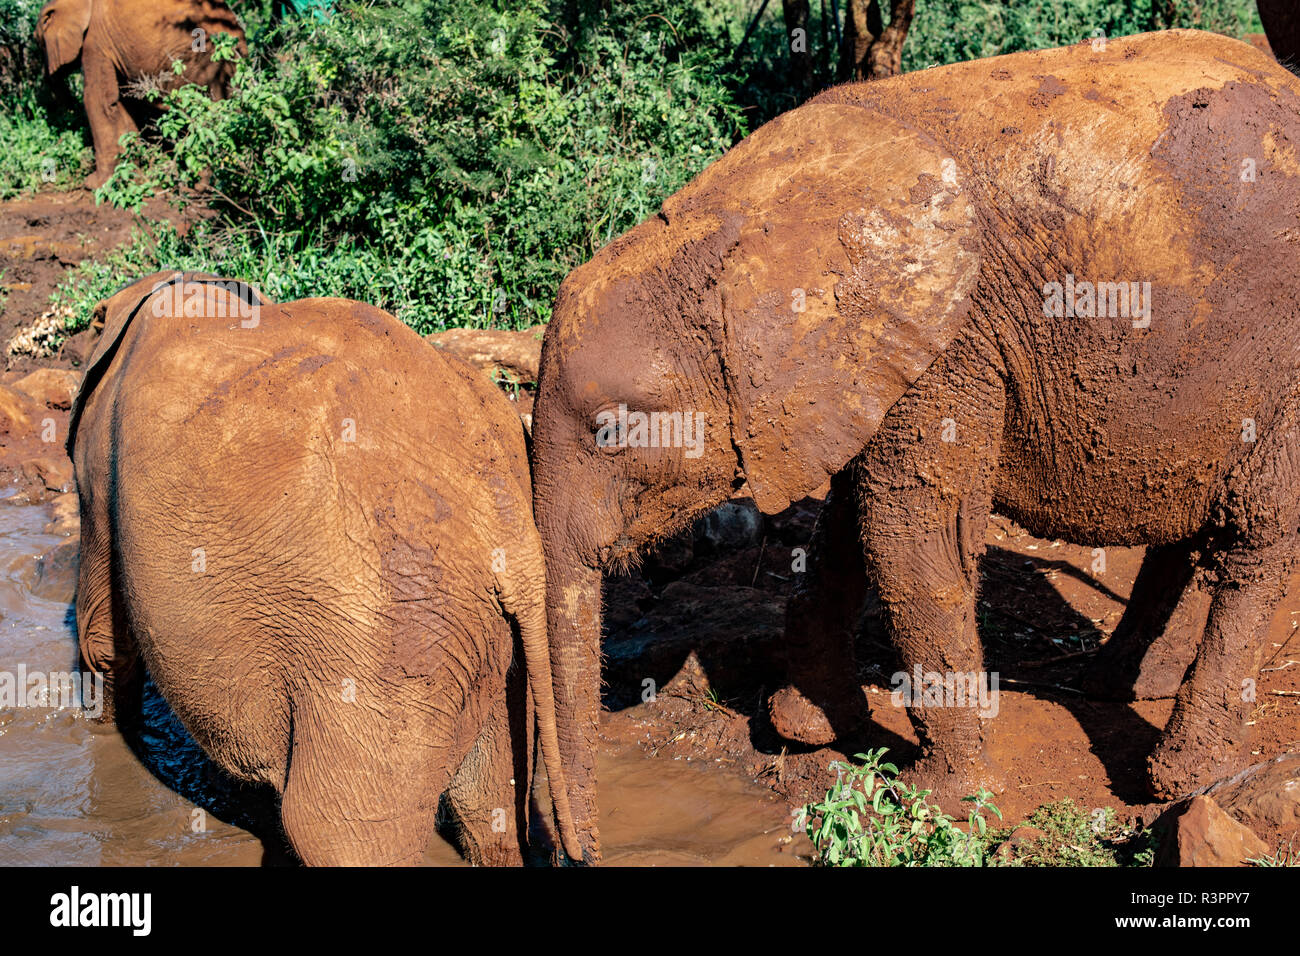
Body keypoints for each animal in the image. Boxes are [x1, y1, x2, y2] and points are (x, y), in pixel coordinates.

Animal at [34, 0, 245, 187]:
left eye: (39, 43)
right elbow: (125, 101)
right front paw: (132, 174)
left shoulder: (94, 41)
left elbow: (98, 100)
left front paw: (95, 185)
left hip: (197, 61)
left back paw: (197, 187)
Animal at [69, 270, 579, 868]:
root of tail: (509, 525)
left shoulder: (96, 466)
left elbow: (104, 640)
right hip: (483, 643)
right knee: (490, 810)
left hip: (390, 651)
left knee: (336, 833)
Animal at [530, 31, 1300, 868]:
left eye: (610, 432)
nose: (582, 848)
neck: (732, 226)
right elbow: (849, 520)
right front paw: (803, 724)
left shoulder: (952, 339)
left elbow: (910, 532)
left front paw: (943, 800)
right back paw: (1121, 683)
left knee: (1259, 538)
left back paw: (1179, 773)